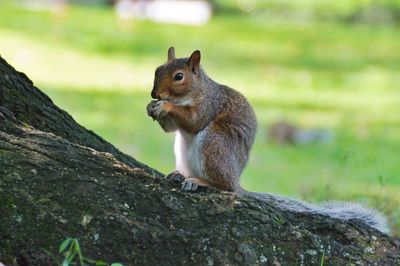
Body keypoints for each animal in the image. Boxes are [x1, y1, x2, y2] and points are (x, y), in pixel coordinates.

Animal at [145, 47, 390, 235]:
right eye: (156, 70)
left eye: (179, 76)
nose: (155, 94)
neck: (193, 91)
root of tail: (237, 179)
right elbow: (172, 128)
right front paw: (151, 107)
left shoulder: (209, 104)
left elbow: (194, 121)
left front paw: (166, 106)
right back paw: (180, 174)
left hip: (214, 144)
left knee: (226, 188)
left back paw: (201, 181)